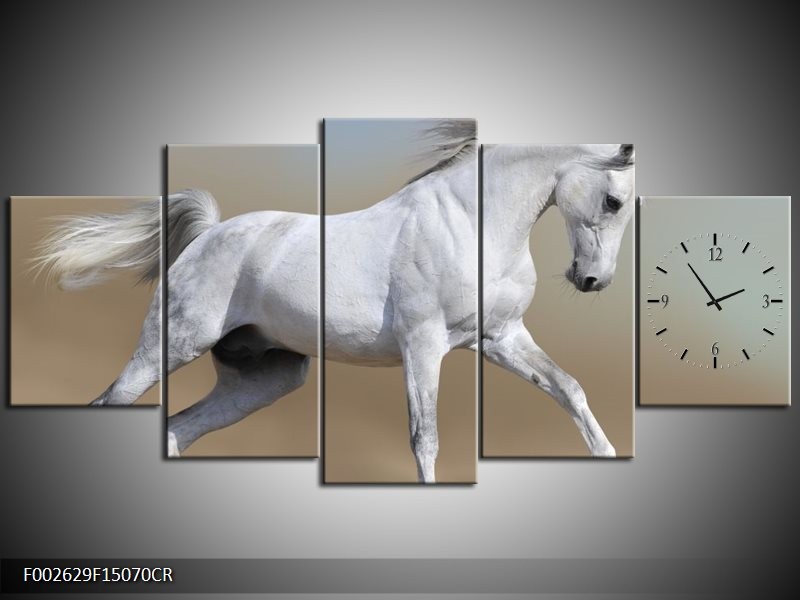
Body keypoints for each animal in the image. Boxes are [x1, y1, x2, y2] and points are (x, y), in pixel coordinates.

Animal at [35, 129, 633, 483]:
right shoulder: (424, 346)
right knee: (112, 402)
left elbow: (570, 389)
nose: (591, 280)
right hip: (172, 345)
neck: (469, 223)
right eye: (613, 200)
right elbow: (425, 439)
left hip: (266, 379)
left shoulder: (502, 338)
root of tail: (207, 235)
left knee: (177, 431)